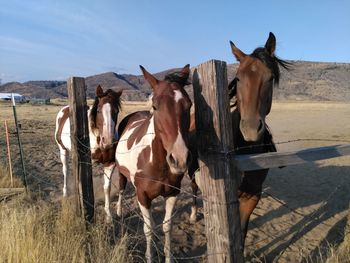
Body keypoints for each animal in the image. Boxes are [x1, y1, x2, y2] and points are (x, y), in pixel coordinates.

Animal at [53, 85, 121, 222]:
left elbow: (107, 187)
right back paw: (65, 193)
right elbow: (85, 185)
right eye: (99, 110)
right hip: (63, 150)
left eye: (116, 111)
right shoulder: (87, 163)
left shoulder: (109, 163)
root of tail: (65, 109)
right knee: (65, 170)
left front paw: (108, 215)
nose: (109, 141)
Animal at [115, 65, 191, 263]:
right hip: (120, 173)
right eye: (155, 106)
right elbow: (148, 229)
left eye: (189, 105)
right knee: (120, 189)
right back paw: (117, 211)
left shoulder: (172, 194)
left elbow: (166, 227)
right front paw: (150, 257)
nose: (179, 159)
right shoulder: (142, 196)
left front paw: (168, 256)